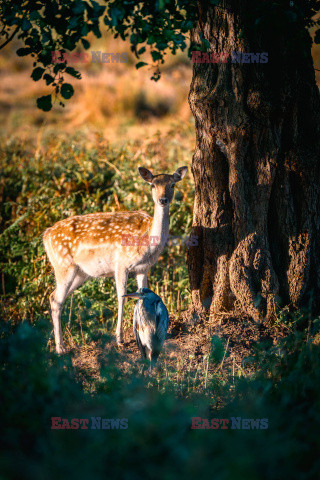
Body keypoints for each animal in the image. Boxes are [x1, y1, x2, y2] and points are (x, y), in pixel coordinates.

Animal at [42, 165, 188, 352]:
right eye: (153, 185)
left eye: (172, 185)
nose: (163, 200)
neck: (147, 242)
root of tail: (46, 236)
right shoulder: (121, 263)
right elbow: (121, 296)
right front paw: (119, 338)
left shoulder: (143, 268)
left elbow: (143, 296)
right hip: (63, 265)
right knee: (57, 299)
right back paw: (60, 348)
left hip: (80, 273)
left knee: (54, 298)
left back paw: (60, 346)